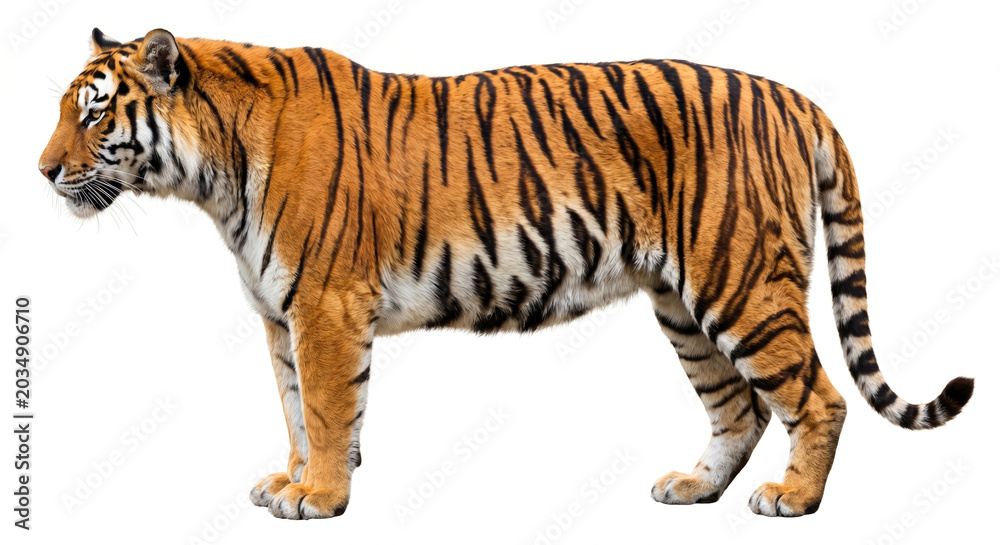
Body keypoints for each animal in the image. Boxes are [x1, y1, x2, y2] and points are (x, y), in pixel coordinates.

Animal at [39, 27, 974, 520]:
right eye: (62, 110)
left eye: (94, 113)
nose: (43, 172)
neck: (211, 178)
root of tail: (794, 97)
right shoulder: (280, 316)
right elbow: (297, 408)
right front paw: (290, 480)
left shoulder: (324, 309)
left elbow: (331, 410)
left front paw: (322, 496)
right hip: (682, 303)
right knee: (737, 407)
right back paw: (692, 487)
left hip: (741, 281)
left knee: (817, 396)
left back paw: (794, 498)